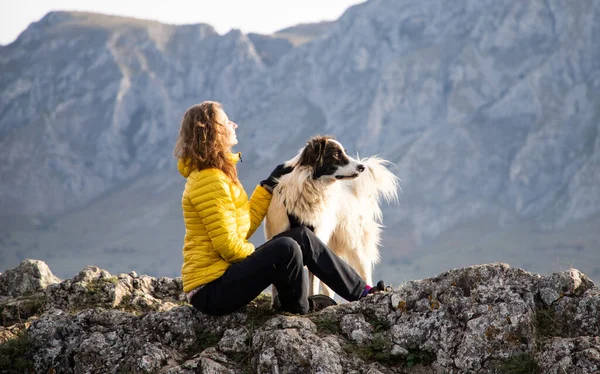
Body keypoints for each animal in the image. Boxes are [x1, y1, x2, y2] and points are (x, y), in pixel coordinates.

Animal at [266, 136, 398, 300]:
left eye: (345, 152)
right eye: (336, 154)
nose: (362, 167)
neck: (309, 185)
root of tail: (352, 192)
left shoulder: (315, 238)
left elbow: (312, 283)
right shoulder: (278, 234)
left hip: (353, 244)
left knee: (364, 272)